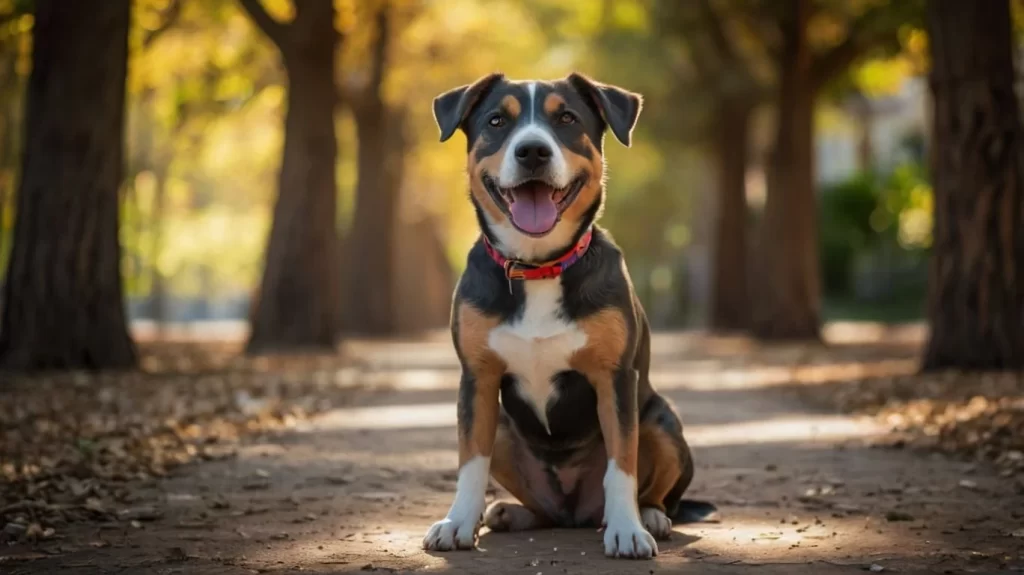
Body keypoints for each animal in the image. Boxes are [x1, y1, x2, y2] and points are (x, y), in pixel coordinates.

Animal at [419, 72, 716, 560]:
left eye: (567, 119)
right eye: (497, 120)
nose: (532, 151)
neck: (539, 266)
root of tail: (577, 511)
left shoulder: (615, 379)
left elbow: (622, 462)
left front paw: (628, 530)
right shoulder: (477, 379)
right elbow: (471, 461)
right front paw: (458, 522)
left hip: (662, 420)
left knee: (655, 488)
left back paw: (650, 515)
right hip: (506, 429)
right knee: (544, 509)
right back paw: (511, 512)